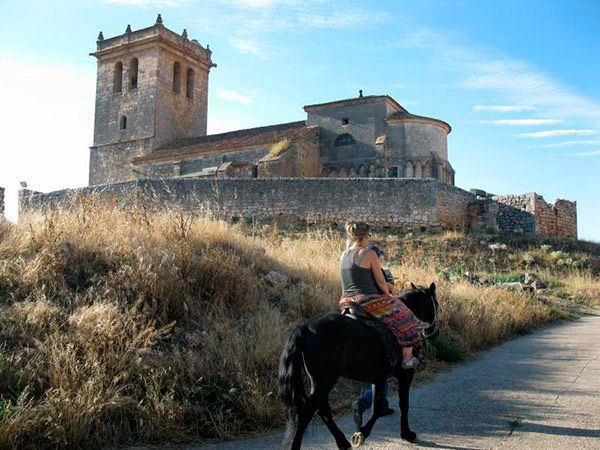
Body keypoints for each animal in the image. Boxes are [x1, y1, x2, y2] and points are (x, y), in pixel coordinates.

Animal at [278, 284, 438, 448]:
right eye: (436, 305)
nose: (433, 333)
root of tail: (305, 327)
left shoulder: (378, 379)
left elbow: (376, 408)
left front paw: (361, 433)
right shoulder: (406, 374)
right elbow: (403, 404)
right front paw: (406, 434)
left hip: (319, 382)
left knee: (322, 409)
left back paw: (342, 442)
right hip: (325, 381)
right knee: (307, 412)